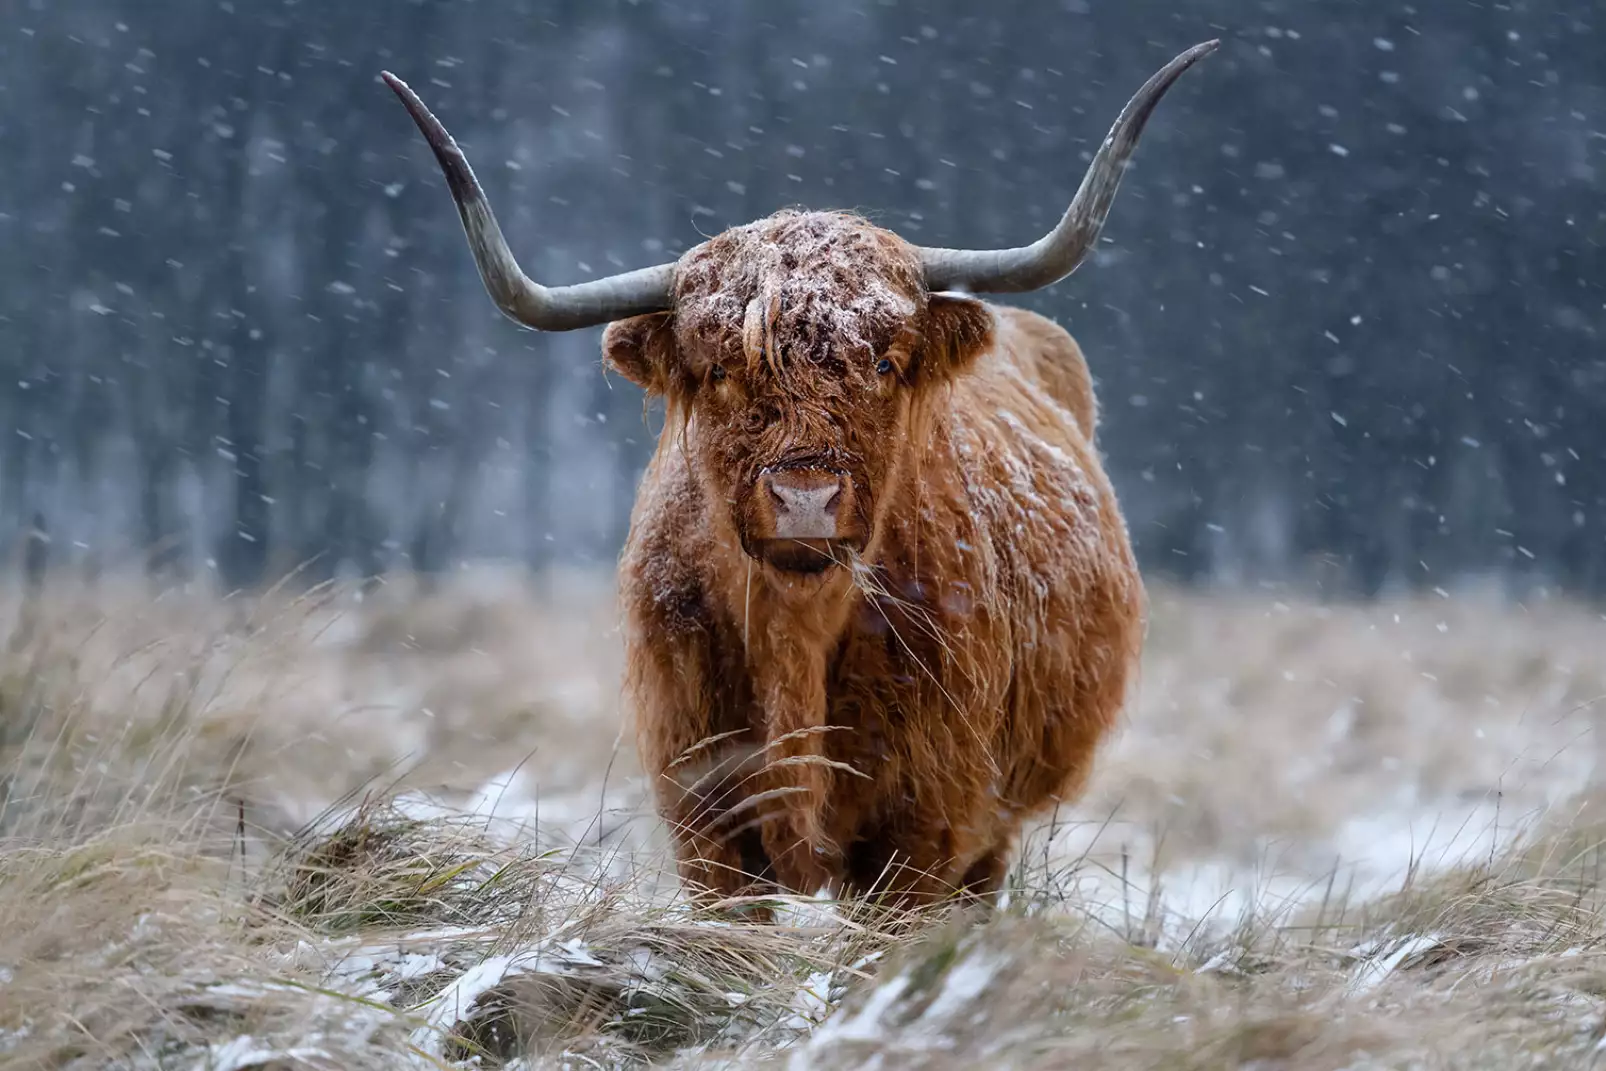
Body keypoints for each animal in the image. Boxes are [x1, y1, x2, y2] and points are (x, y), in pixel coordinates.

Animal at [380, 40, 1216, 918]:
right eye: (720, 369)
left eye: (883, 362)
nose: (805, 500)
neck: (796, 635)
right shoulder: (704, 810)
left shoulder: (929, 817)